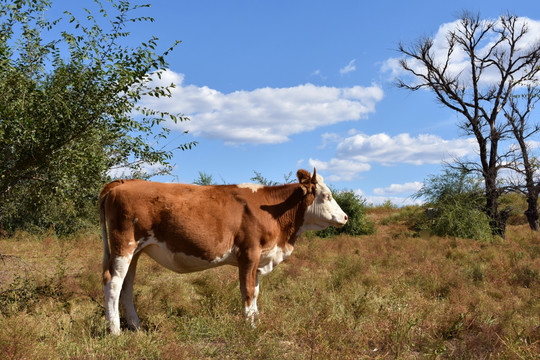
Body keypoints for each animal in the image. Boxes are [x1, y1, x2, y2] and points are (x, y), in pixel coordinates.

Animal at [100, 169, 346, 334]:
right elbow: (247, 291)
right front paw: (249, 326)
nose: (345, 217)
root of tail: (123, 182)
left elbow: (256, 292)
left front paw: (256, 322)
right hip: (124, 244)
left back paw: (136, 326)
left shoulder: (259, 259)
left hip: (135, 251)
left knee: (127, 286)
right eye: (327, 196)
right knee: (113, 282)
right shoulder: (249, 252)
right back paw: (115, 331)